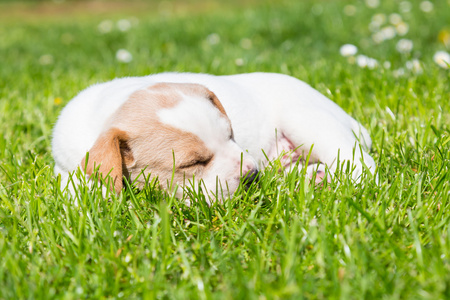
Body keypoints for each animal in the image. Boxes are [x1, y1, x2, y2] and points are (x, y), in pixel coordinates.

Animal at [52, 72, 376, 202]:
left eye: (232, 136)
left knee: (362, 164)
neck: (108, 111)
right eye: (192, 163)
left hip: (308, 120)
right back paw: (312, 178)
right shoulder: (65, 168)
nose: (252, 176)